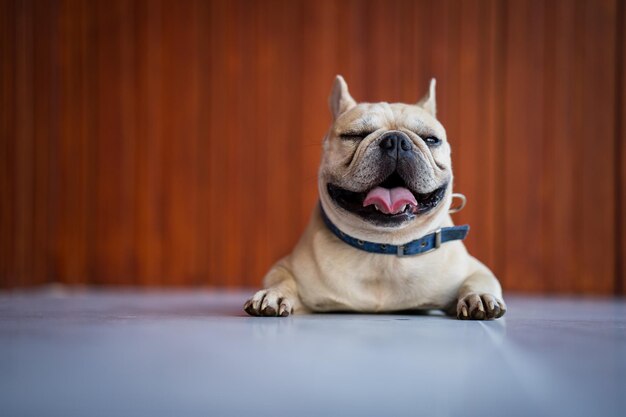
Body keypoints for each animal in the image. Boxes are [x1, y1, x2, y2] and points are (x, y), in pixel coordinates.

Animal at [241, 75, 504, 318]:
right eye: (354, 135)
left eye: (431, 139)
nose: (396, 140)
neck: (384, 249)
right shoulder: (284, 267)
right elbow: (281, 279)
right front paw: (273, 295)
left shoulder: (475, 270)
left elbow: (477, 280)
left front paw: (478, 296)